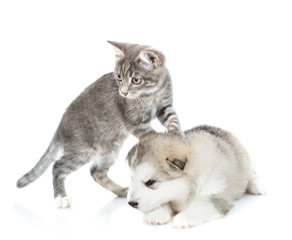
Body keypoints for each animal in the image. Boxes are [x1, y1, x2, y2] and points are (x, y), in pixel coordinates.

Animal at [16, 41, 181, 208]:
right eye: (119, 77)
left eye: (136, 80)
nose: (123, 92)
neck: (152, 94)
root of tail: (60, 126)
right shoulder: (133, 121)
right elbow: (150, 133)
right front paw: (165, 141)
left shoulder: (165, 106)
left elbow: (173, 119)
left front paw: (176, 134)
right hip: (82, 150)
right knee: (58, 166)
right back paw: (61, 197)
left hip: (111, 149)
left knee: (96, 172)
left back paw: (121, 191)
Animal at [126, 124, 264, 228]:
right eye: (132, 179)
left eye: (151, 182)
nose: (131, 203)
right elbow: (164, 201)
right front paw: (156, 214)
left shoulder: (218, 195)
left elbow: (202, 205)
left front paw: (183, 218)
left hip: (245, 162)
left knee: (251, 174)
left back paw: (257, 186)